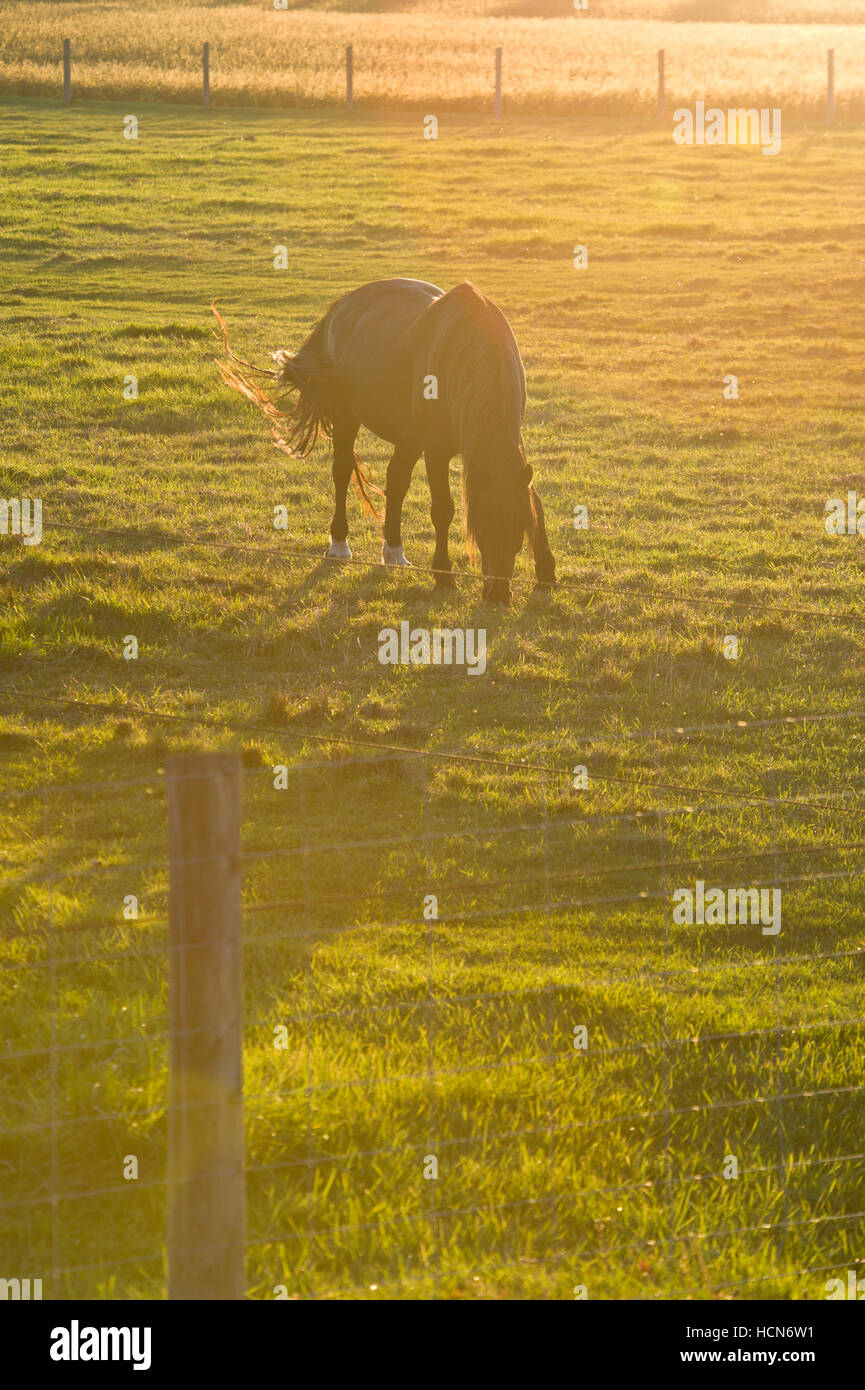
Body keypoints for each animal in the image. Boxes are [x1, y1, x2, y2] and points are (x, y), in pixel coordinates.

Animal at [215, 279, 556, 606]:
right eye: (480, 532)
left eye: (518, 533)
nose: (498, 595)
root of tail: (342, 305)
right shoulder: (436, 450)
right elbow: (442, 510)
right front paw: (443, 574)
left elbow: (535, 502)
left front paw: (546, 574)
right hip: (349, 418)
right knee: (342, 473)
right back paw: (340, 544)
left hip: (408, 438)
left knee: (396, 480)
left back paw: (393, 550)